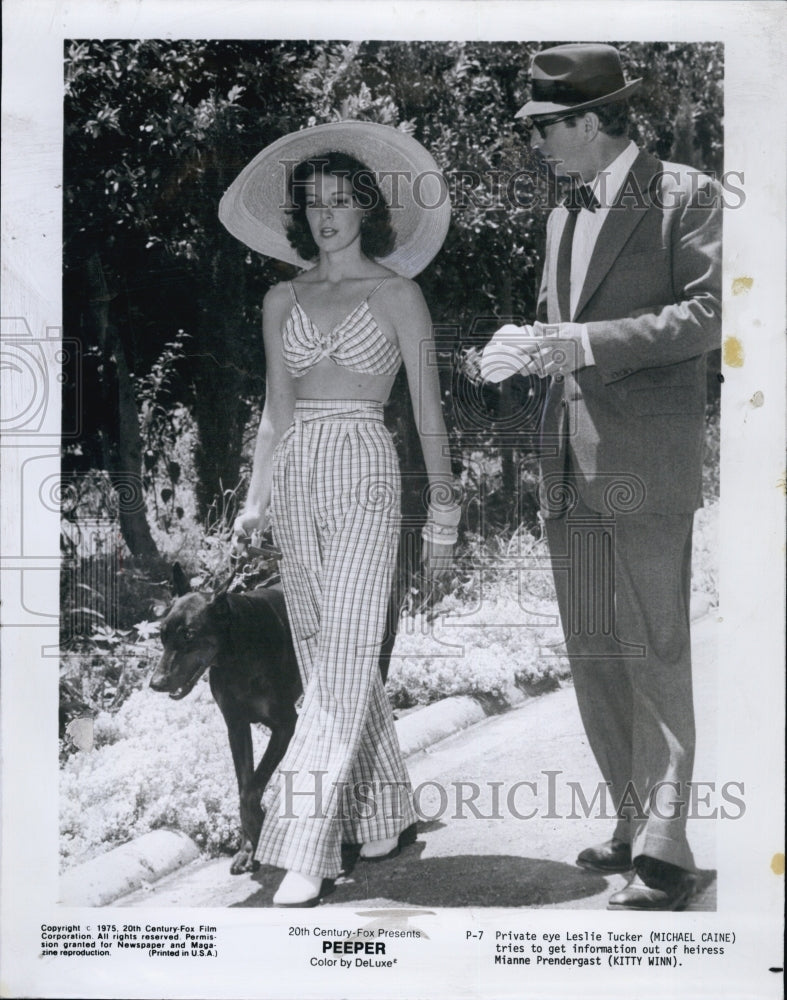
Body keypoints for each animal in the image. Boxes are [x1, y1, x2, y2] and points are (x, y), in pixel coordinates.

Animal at [152, 564, 404, 876]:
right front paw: (248, 848)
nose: (156, 682)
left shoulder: (285, 725)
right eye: (161, 634)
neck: (236, 653)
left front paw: (259, 826)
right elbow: (244, 785)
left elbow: (250, 791)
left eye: (189, 634)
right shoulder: (236, 727)